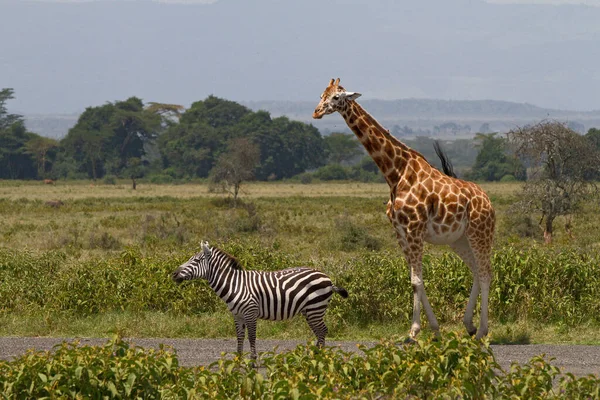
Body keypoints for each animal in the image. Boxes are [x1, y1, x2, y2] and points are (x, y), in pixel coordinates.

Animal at [171, 242, 350, 360]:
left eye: (195, 261)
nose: (174, 274)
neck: (235, 284)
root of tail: (328, 279)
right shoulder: (237, 315)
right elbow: (239, 337)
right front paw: (238, 359)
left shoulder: (250, 312)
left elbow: (252, 337)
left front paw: (253, 361)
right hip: (310, 311)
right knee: (319, 332)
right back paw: (315, 356)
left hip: (315, 308)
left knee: (322, 331)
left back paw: (320, 358)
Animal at [312, 79, 494, 340]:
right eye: (321, 95)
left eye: (336, 97)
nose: (316, 112)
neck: (395, 173)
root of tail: (488, 201)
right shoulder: (400, 231)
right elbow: (415, 280)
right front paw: (433, 329)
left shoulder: (415, 228)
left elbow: (417, 281)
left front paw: (413, 331)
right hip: (459, 239)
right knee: (476, 271)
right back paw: (469, 325)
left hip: (480, 233)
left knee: (486, 272)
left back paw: (482, 332)